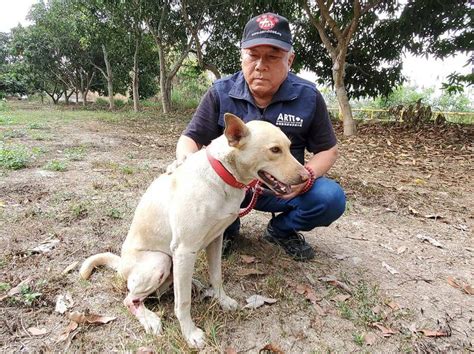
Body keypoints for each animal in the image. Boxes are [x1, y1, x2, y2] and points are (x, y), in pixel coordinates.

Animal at [79, 113, 310, 348]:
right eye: (275, 150)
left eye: (289, 147)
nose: (306, 177)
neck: (222, 175)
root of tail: (121, 266)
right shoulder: (184, 250)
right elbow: (183, 303)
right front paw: (190, 333)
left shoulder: (216, 240)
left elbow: (217, 276)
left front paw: (222, 300)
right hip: (160, 261)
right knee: (130, 299)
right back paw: (150, 319)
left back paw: (194, 284)